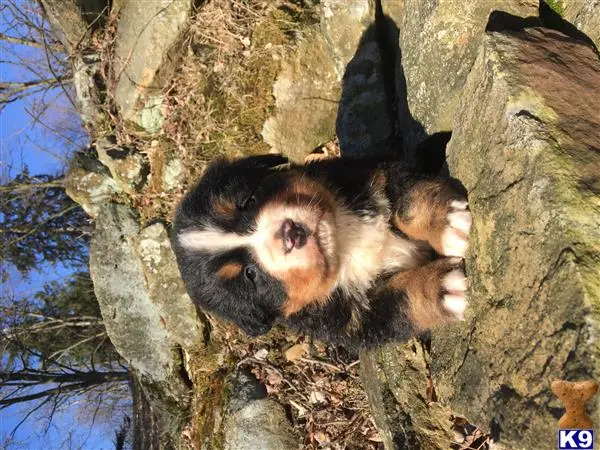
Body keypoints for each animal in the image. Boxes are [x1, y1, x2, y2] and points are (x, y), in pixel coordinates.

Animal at [171, 156, 472, 352]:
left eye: (248, 200)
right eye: (250, 275)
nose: (290, 233)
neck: (344, 242)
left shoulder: (375, 177)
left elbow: (407, 204)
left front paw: (448, 223)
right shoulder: (357, 322)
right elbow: (399, 300)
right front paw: (442, 289)